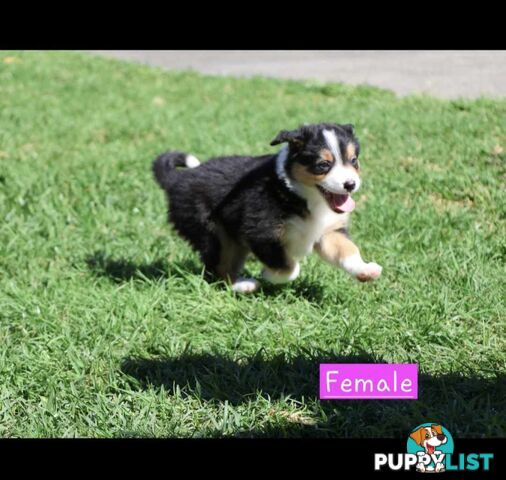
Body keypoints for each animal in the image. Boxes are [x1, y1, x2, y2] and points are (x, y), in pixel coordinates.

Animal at [152, 123, 382, 292]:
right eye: (323, 165)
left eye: (354, 160)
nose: (350, 184)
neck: (299, 194)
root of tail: (178, 180)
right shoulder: (260, 232)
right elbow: (289, 267)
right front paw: (269, 275)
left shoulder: (328, 231)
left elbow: (347, 249)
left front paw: (365, 270)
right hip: (210, 232)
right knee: (217, 268)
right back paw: (244, 285)